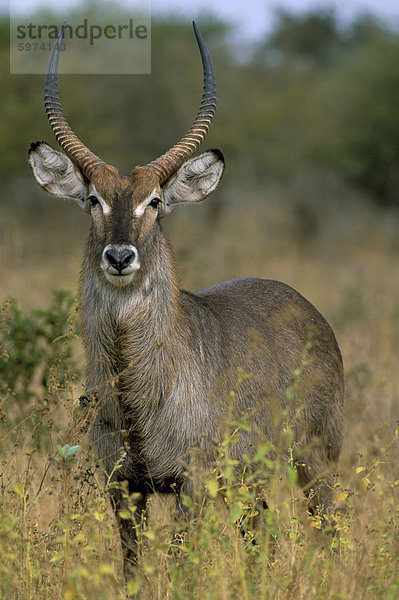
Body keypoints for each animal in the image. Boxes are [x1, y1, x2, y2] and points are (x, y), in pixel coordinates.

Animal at [29, 22, 346, 576]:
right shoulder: (123, 485)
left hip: (315, 459)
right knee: (258, 536)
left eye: (155, 201)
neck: (140, 394)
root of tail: (310, 311)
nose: (119, 256)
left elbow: (179, 564)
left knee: (328, 528)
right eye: (92, 199)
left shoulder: (191, 482)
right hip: (251, 481)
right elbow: (134, 569)